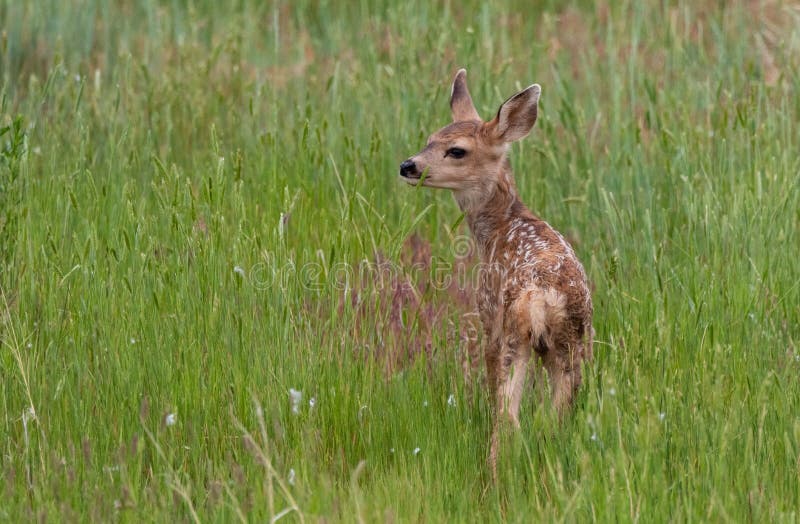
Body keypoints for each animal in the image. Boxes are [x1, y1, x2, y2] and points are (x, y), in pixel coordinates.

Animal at [400, 67, 592, 472]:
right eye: (429, 138)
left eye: (457, 150)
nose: (408, 166)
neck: (499, 228)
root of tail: (542, 296)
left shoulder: (487, 313)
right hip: (573, 341)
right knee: (559, 413)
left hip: (513, 334)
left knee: (508, 416)